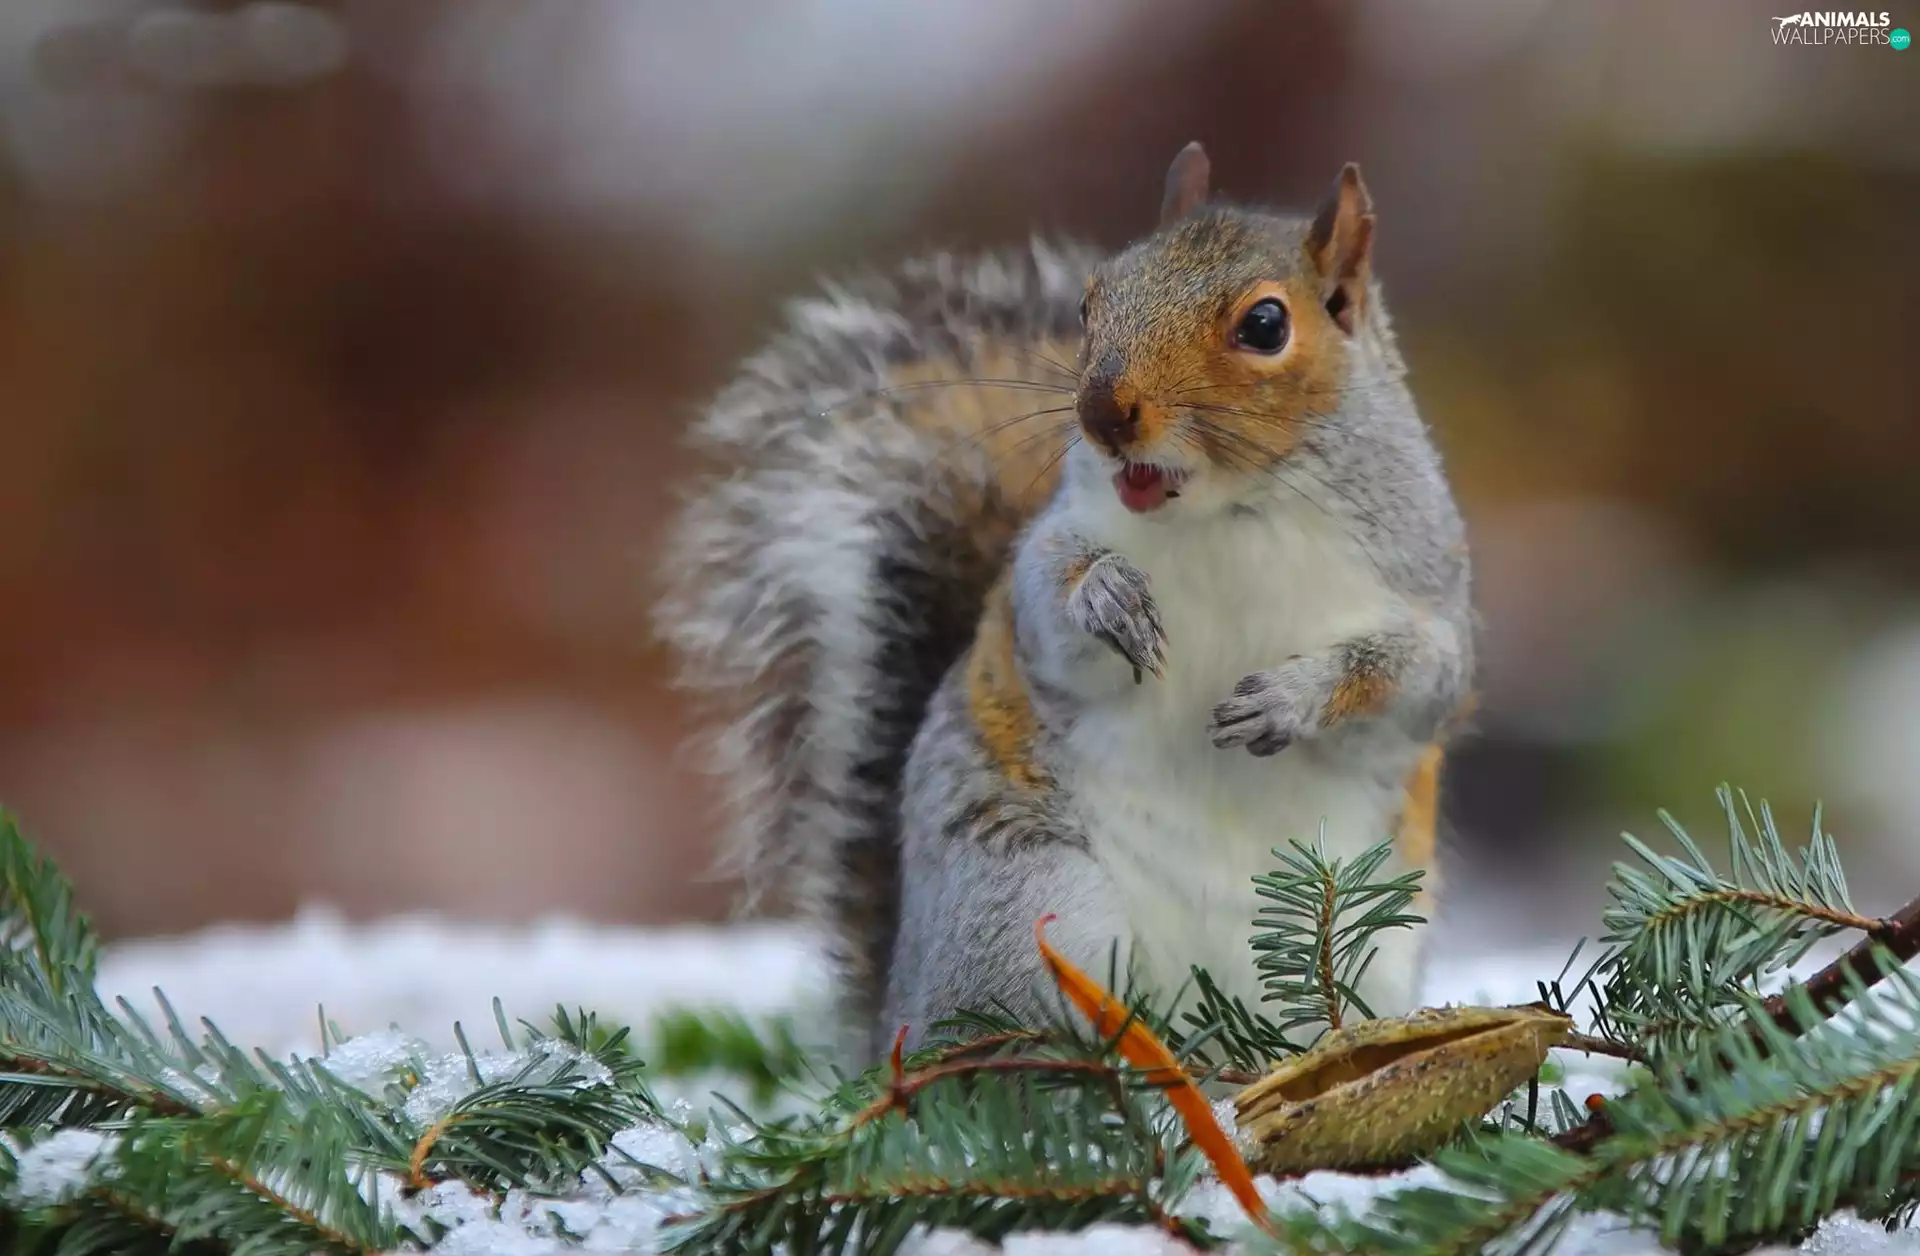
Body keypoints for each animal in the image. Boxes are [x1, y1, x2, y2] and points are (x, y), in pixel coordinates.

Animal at [657, 143, 1474, 1065]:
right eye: (1091, 302)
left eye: (1266, 326)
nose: (1101, 410)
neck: (1228, 509)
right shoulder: (1047, 547)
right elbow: (1048, 609)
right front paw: (1105, 597)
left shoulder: (1427, 587)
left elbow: (1412, 678)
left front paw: (1291, 698)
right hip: (1032, 904)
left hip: (1368, 949)